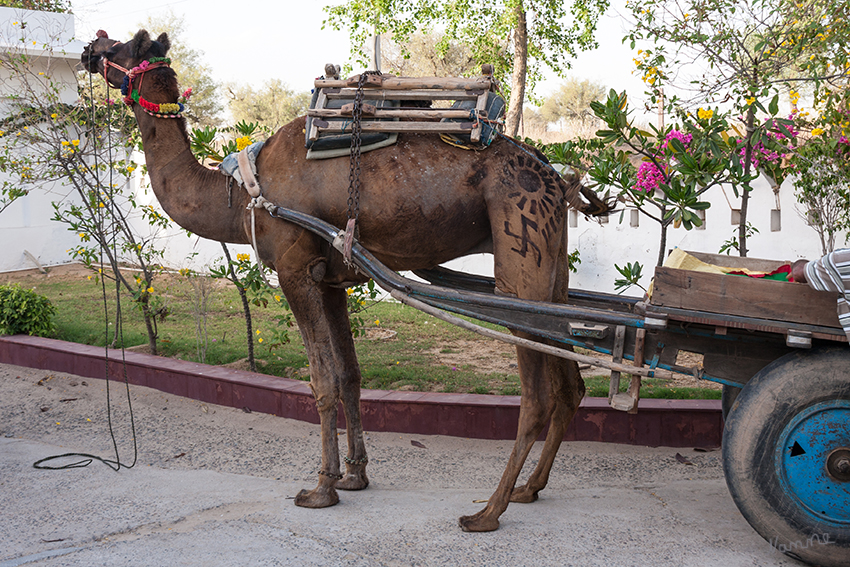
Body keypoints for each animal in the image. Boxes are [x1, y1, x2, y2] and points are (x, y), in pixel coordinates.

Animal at [81, 30, 608, 532]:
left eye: (125, 46)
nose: (90, 49)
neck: (242, 193)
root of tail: (557, 179)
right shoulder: (331, 280)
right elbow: (351, 375)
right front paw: (355, 475)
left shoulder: (293, 268)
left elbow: (322, 380)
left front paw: (321, 487)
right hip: (552, 272)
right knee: (570, 383)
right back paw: (529, 488)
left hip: (521, 250)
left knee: (537, 397)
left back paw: (487, 512)